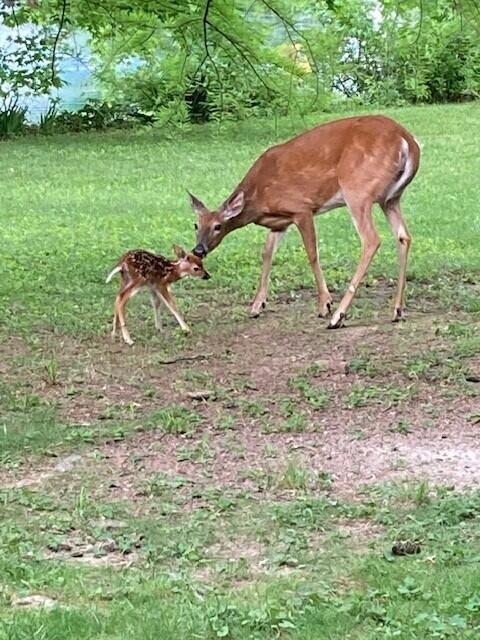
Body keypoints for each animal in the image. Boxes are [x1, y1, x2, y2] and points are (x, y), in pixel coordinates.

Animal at [188, 114, 420, 329]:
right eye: (196, 225)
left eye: (218, 226)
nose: (199, 249)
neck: (259, 198)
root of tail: (406, 139)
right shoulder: (281, 222)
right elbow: (267, 253)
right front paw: (256, 306)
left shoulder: (301, 208)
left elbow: (311, 253)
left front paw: (325, 305)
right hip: (391, 198)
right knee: (404, 236)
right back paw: (397, 310)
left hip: (358, 190)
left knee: (371, 239)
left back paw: (338, 316)